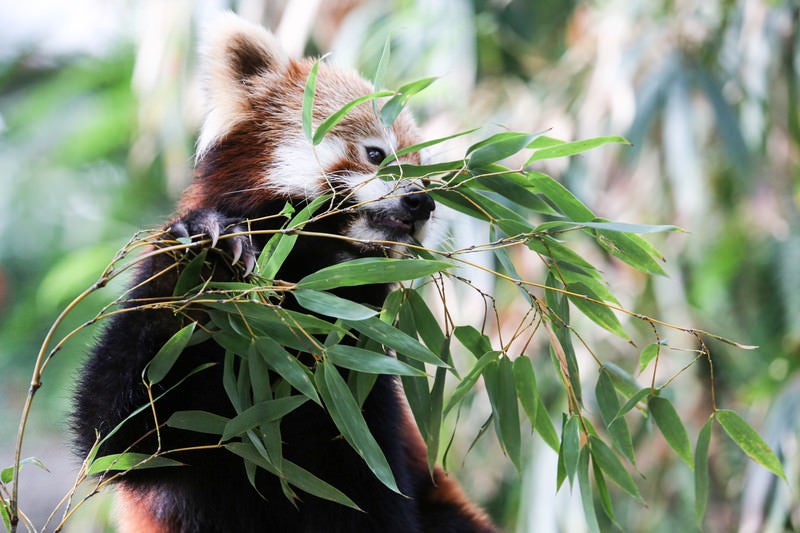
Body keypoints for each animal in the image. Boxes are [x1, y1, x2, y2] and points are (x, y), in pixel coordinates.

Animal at [73, 12, 500, 532]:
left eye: (428, 176)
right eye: (377, 154)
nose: (422, 202)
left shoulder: (357, 383)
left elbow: (366, 491)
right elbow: (116, 428)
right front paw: (204, 254)